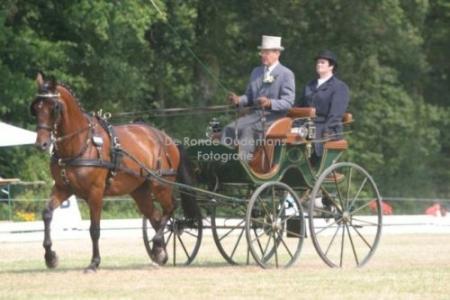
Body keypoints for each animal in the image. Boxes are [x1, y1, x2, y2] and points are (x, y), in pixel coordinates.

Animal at [29, 72, 199, 272]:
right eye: (36, 108)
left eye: (54, 107)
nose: (41, 144)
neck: (81, 144)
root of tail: (167, 138)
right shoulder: (63, 188)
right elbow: (47, 213)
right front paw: (50, 257)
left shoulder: (95, 192)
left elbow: (94, 229)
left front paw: (94, 262)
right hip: (140, 191)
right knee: (156, 216)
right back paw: (160, 252)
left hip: (160, 185)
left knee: (171, 208)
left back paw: (158, 244)